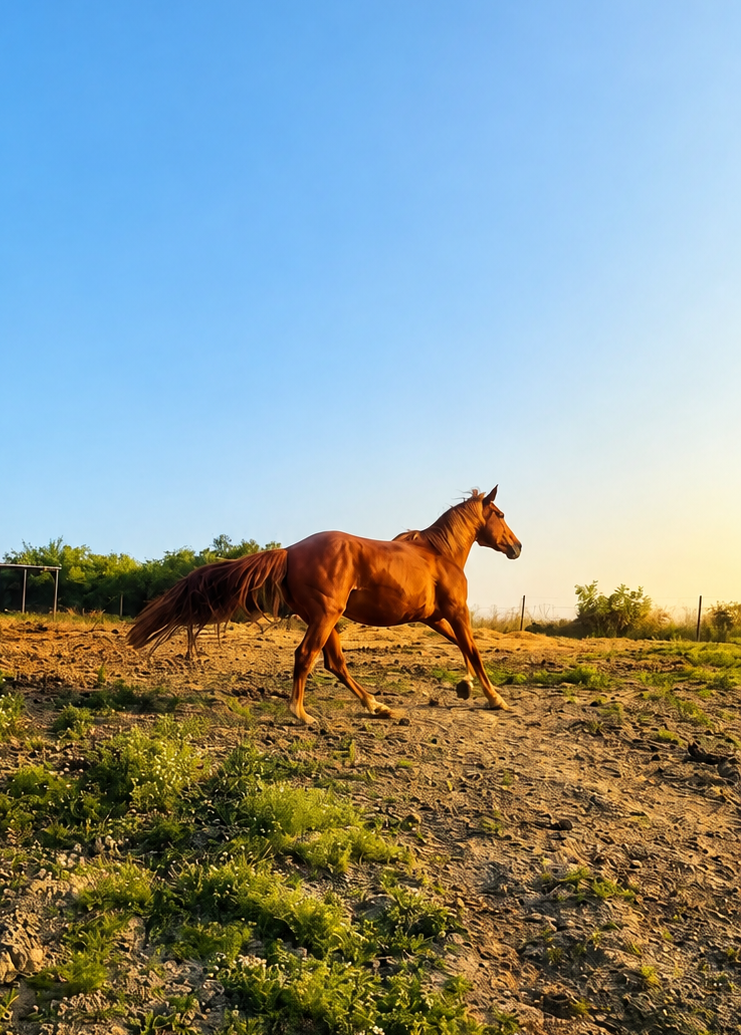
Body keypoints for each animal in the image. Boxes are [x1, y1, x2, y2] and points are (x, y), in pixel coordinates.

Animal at [128, 487, 522, 724]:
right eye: (501, 514)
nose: (517, 547)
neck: (440, 555)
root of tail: (290, 550)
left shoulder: (434, 617)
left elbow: (462, 648)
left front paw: (465, 686)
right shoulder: (456, 611)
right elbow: (474, 650)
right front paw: (495, 698)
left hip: (325, 618)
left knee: (335, 664)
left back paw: (376, 705)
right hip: (325, 616)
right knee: (306, 657)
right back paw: (301, 713)